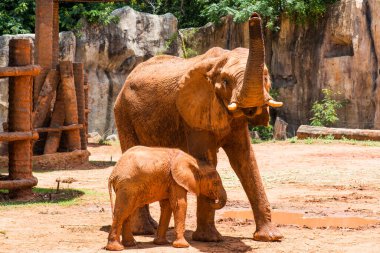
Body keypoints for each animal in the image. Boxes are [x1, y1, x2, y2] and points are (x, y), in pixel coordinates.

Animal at [114, 12, 284, 242]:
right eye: (226, 81)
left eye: (266, 77)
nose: (254, 17)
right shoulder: (193, 114)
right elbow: (206, 159)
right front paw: (208, 239)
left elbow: (245, 160)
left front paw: (271, 237)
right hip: (123, 112)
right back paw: (144, 231)